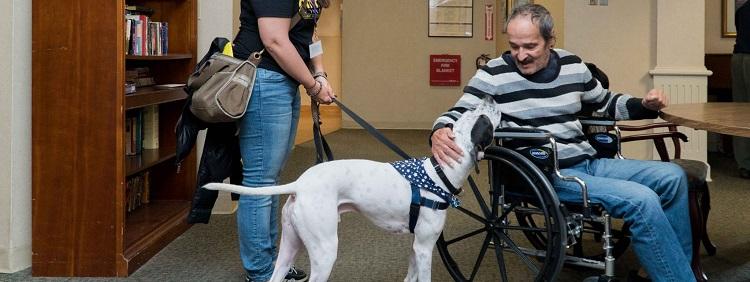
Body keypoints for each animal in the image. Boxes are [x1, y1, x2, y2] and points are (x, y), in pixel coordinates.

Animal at [203, 98, 502, 280]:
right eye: (484, 120)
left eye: (473, 113)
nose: (490, 98)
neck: (438, 173)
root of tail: (301, 183)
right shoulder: (426, 248)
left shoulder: (416, 248)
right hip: (324, 251)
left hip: (289, 246)